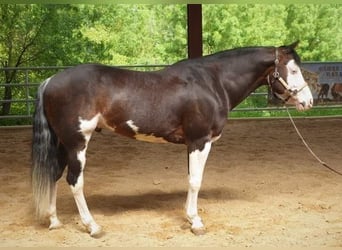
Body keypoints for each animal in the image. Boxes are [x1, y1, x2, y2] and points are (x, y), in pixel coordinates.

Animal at [31, 41, 312, 236]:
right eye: (293, 69)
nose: (308, 101)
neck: (212, 82)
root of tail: (50, 80)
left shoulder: (191, 144)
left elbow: (190, 179)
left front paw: (189, 217)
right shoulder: (200, 141)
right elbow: (196, 181)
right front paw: (196, 223)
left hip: (62, 143)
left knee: (54, 174)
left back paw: (54, 221)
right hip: (77, 144)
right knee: (74, 181)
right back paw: (93, 226)